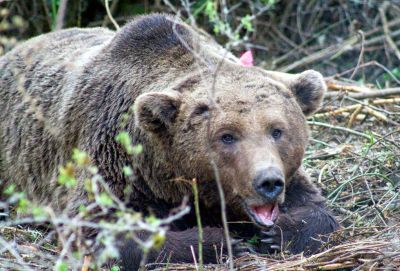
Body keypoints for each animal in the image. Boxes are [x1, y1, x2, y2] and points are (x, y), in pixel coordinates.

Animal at [0, 14, 340, 270]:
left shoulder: (290, 175)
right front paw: (220, 241)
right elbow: (100, 228)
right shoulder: (113, 157)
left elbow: (318, 209)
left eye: (277, 130)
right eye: (227, 136)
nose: (268, 182)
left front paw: (280, 232)